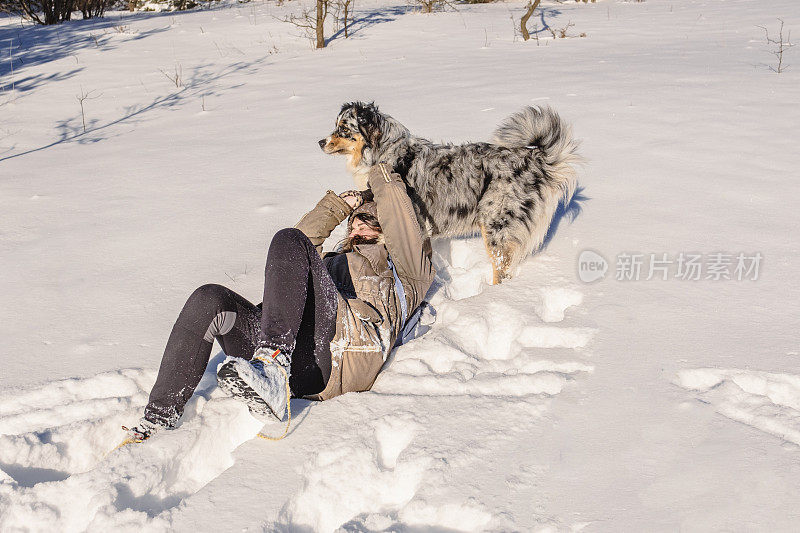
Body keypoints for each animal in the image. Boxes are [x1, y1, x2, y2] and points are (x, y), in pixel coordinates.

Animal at [318, 101, 580, 282]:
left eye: (343, 128)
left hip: (496, 225)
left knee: (501, 268)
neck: (386, 154)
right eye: (336, 126)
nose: (320, 142)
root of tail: (534, 158)